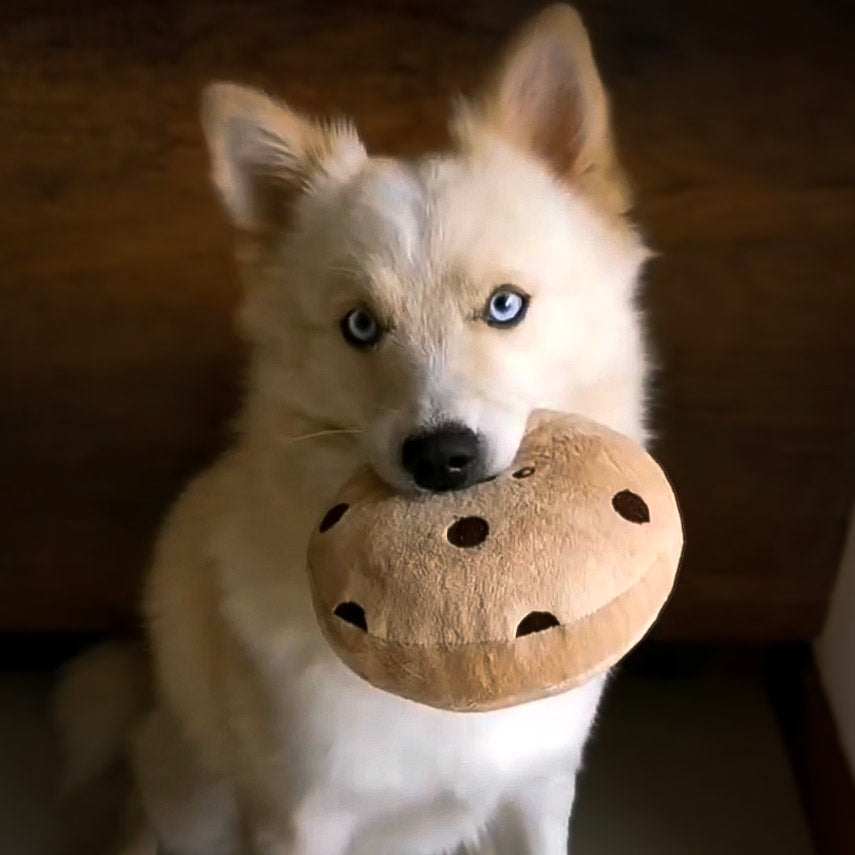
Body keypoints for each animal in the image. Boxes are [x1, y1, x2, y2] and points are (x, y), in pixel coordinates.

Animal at [56, 8, 652, 855]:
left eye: (504, 306)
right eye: (361, 326)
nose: (442, 458)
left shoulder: (536, 793)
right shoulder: (300, 819)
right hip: (194, 804)